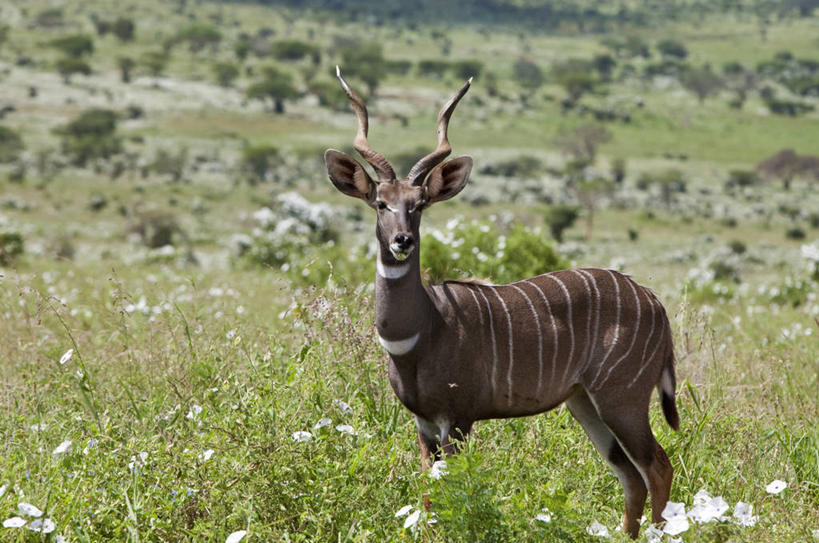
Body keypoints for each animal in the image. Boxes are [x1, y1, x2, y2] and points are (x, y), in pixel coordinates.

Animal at [324, 68, 684, 540]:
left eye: (419, 205)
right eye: (380, 203)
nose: (402, 241)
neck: (421, 332)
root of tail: (654, 302)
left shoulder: (457, 419)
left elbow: (450, 493)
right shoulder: (424, 424)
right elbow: (427, 494)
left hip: (622, 398)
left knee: (657, 466)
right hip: (584, 402)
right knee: (630, 475)